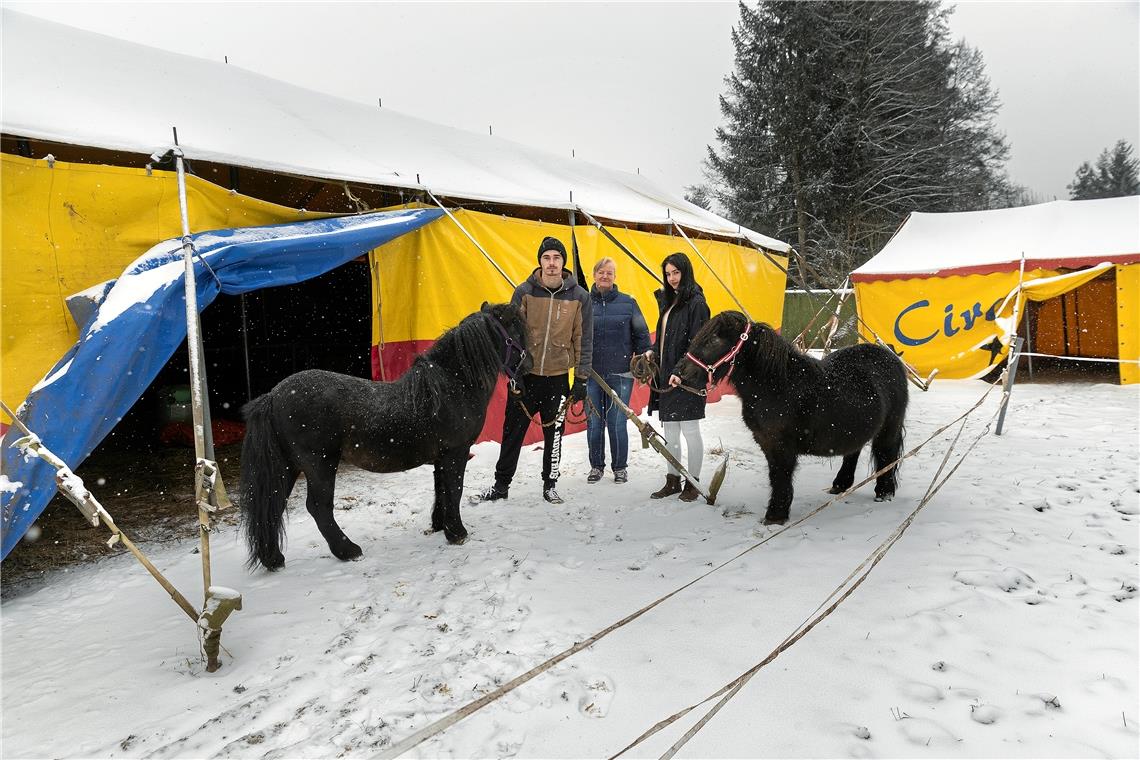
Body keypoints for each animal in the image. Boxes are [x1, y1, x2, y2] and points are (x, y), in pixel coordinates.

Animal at [238, 300, 531, 567]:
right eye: (515, 331)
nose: (529, 366)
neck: (452, 386)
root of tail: (272, 396)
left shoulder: (441, 457)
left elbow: (441, 490)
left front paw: (440, 526)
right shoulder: (456, 453)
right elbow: (454, 490)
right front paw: (457, 533)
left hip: (288, 466)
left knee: (273, 503)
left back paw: (273, 559)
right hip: (319, 465)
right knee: (318, 507)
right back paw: (348, 550)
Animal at [674, 312, 907, 526]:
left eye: (714, 340)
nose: (680, 372)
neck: (778, 386)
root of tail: (891, 356)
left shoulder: (781, 446)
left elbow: (781, 476)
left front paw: (775, 516)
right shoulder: (767, 443)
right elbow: (775, 476)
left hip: (889, 428)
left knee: (887, 454)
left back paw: (884, 493)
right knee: (853, 452)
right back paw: (840, 485)